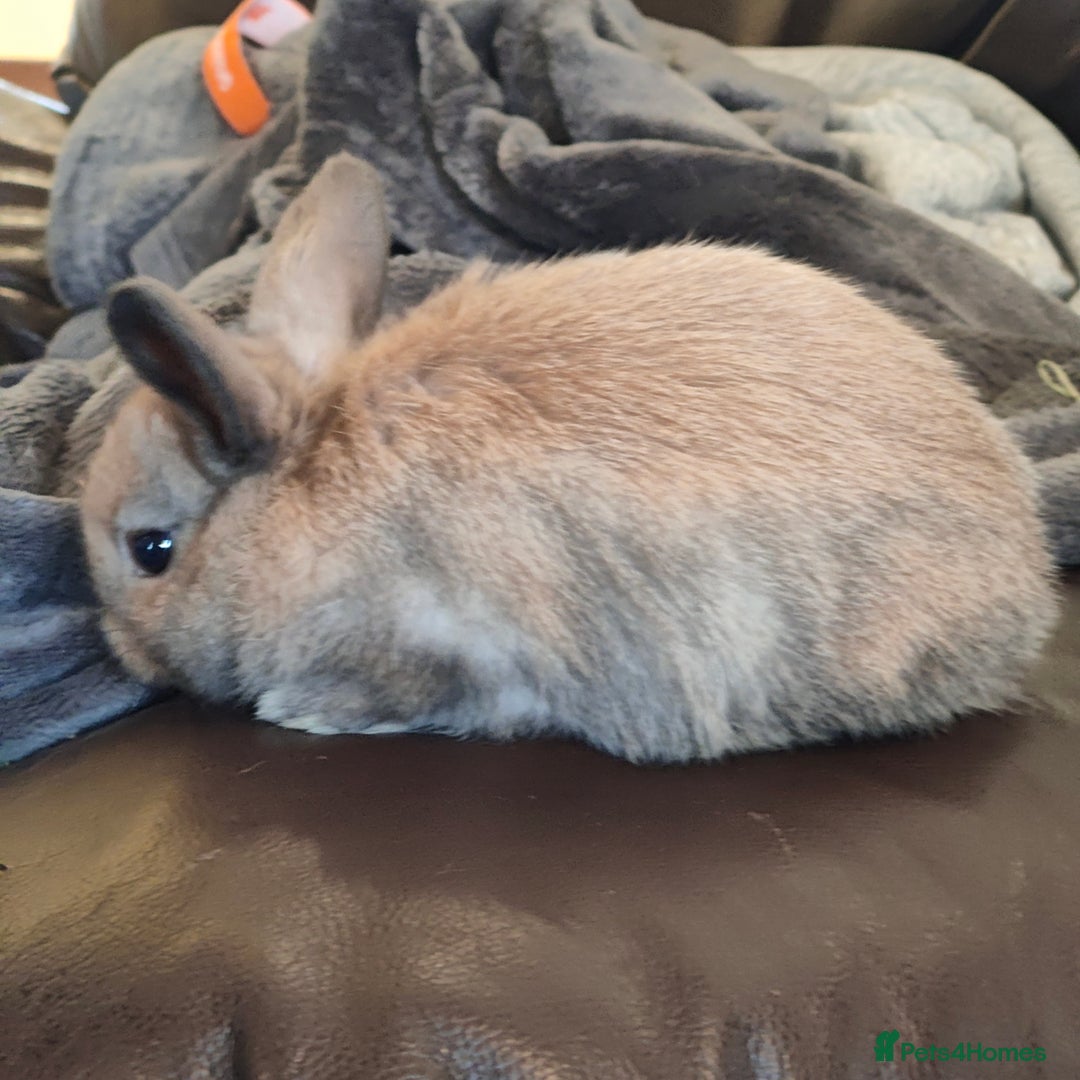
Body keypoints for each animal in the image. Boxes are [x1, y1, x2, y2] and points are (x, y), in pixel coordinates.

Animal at [79, 152, 1058, 764]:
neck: (304, 477)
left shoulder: (454, 639)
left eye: (151, 550)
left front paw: (304, 712)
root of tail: (1029, 588)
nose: (119, 653)